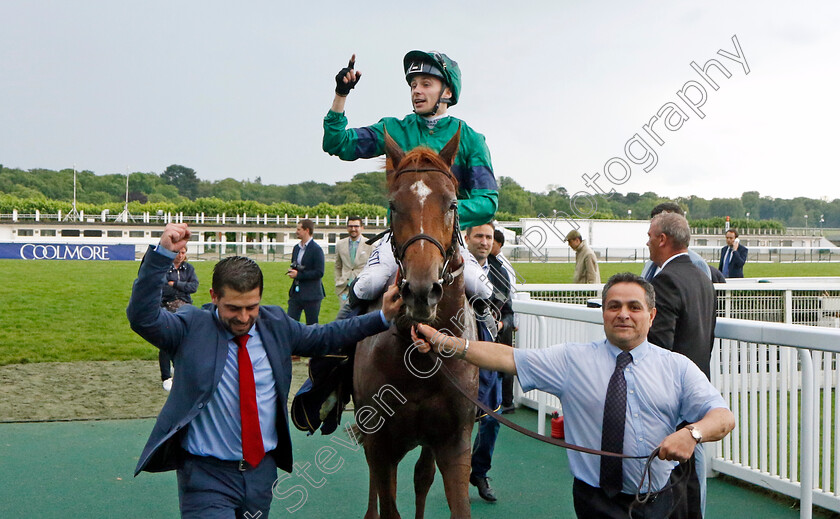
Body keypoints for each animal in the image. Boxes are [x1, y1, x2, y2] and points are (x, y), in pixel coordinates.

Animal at [352, 127, 476, 519]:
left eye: (453, 204)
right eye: (394, 205)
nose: (422, 291)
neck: (419, 359)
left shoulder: (454, 441)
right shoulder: (381, 443)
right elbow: (387, 502)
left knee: (422, 477)